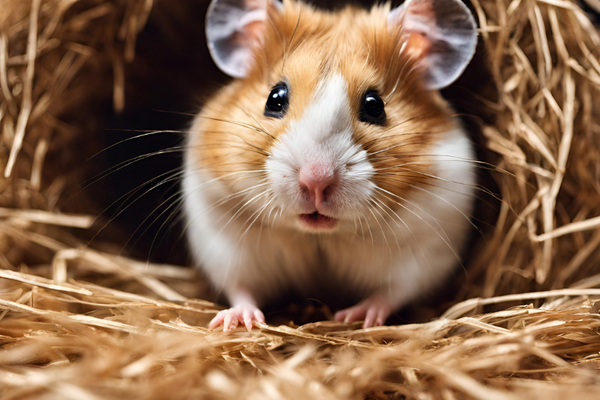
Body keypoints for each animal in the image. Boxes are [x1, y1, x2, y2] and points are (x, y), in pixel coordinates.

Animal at [183, 0, 478, 330]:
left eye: (375, 105)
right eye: (274, 98)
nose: (316, 181)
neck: (321, 235)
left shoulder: (424, 253)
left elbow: (390, 294)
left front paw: (354, 317)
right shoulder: (224, 242)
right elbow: (241, 289)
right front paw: (239, 321)